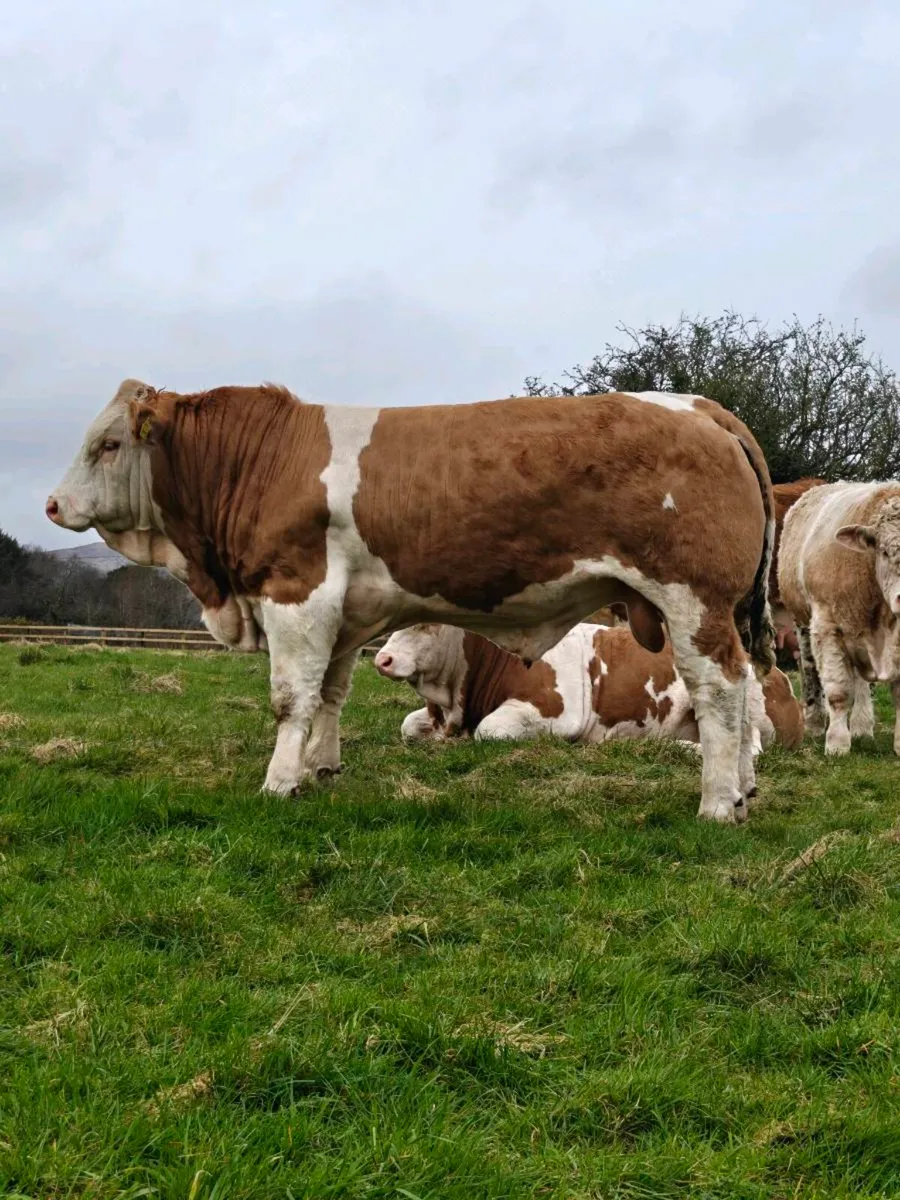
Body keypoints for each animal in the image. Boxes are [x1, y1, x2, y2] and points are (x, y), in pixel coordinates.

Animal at [778, 481, 900, 755]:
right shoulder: (827, 627)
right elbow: (838, 691)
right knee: (811, 670)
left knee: (863, 683)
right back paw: (814, 723)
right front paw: (837, 743)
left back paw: (862, 727)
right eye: (884, 552)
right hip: (804, 623)